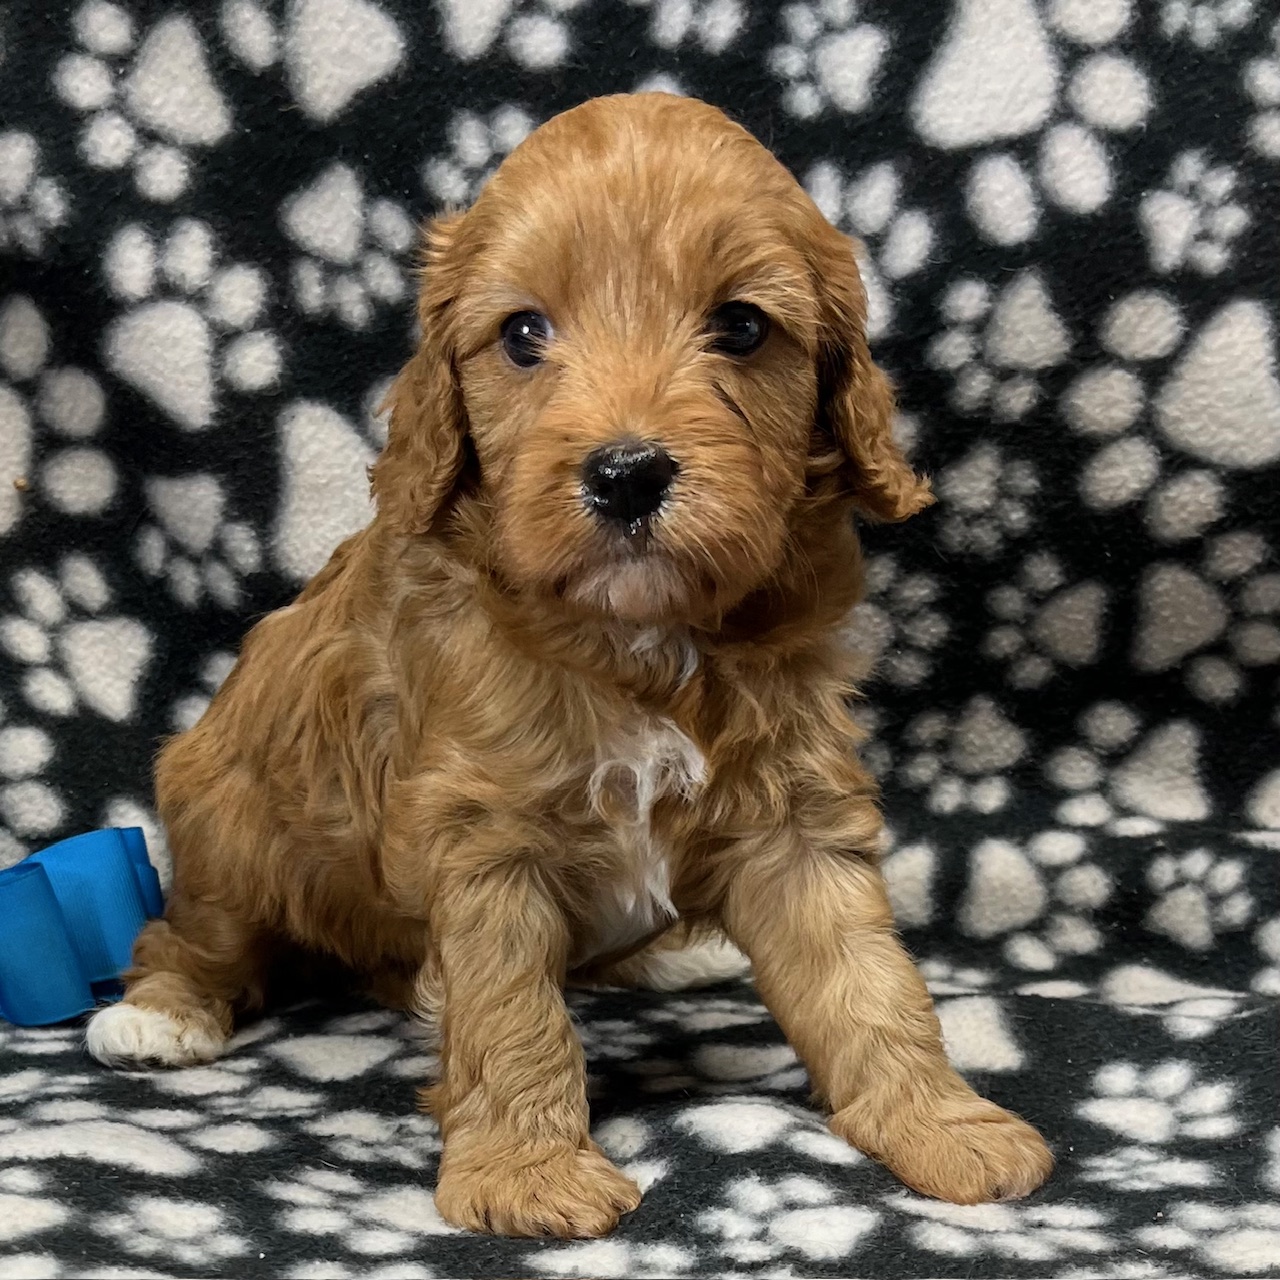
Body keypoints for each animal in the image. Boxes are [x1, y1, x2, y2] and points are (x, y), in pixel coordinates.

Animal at [87, 94, 1049, 1233]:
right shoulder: (482, 840)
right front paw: (526, 1172)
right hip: (232, 824)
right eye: (522, 334)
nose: (626, 473)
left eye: (740, 326)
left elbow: (866, 979)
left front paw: (942, 1123)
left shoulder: (798, 818)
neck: (643, 639)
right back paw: (160, 1014)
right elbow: (509, 1012)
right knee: (194, 931)